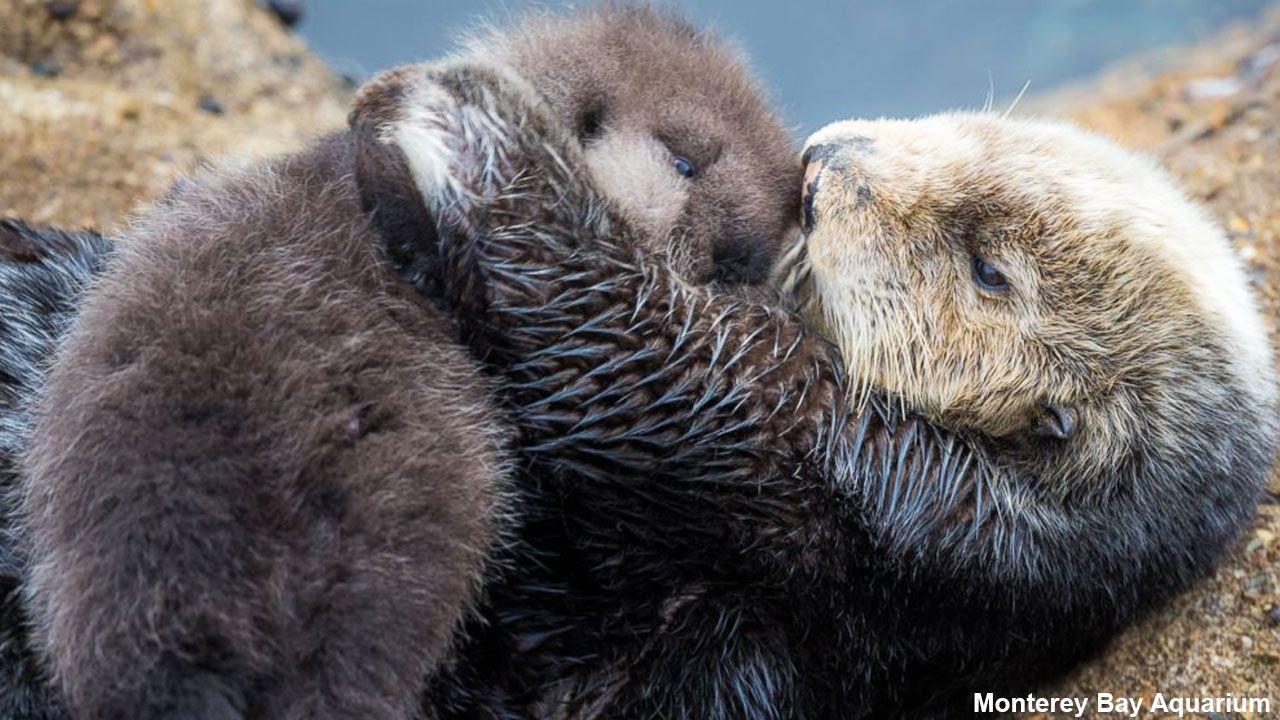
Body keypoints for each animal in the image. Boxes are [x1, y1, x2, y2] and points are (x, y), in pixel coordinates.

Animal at [344, 64, 1276, 718]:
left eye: (988, 271)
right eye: (977, 134)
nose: (823, 161)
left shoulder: (856, 486)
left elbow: (636, 351)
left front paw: (461, 113)